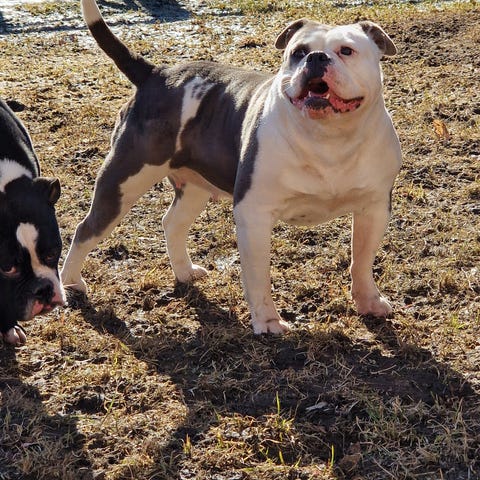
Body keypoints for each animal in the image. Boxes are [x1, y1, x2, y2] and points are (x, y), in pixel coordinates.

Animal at [62, 0, 402, 334]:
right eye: (298, 52)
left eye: (346, 50)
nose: (316, 57)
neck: (329, 138)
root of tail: (157, 74)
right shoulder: (254, 214)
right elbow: (258, 275)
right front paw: (267, 321)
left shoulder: (374, 208)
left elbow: (362, 261)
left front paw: (369, 302)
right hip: (123, 180)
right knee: (87, 229)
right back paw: (71, 283)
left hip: (193, 188)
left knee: (172, 223)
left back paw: (184, 272)